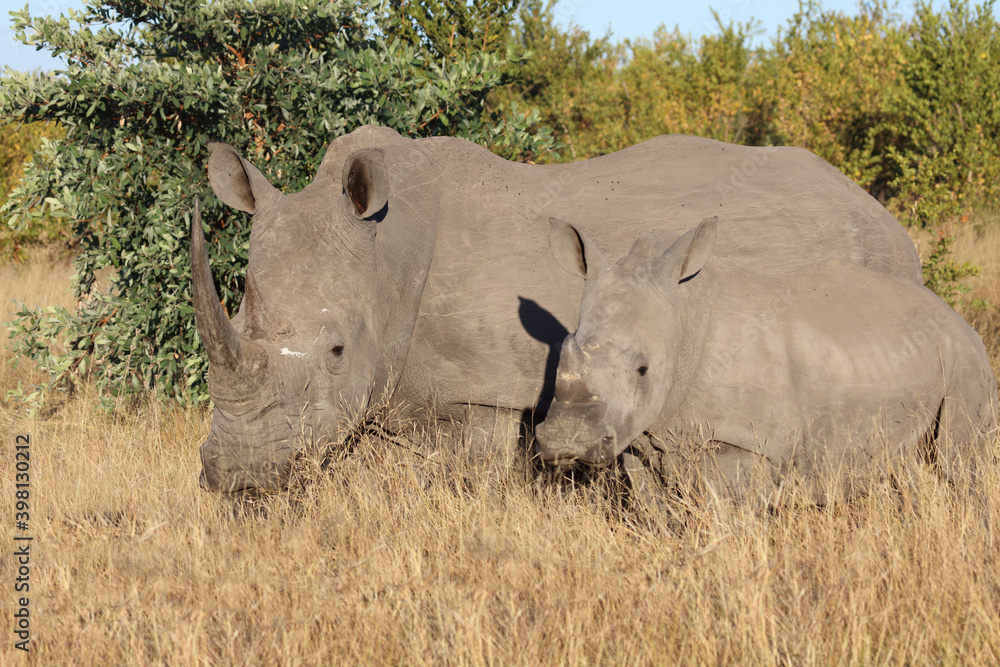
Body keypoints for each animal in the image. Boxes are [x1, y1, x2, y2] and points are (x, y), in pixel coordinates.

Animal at [193, 125, 924, 492]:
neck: (388, 252)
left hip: (871, 270)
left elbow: (474, 482)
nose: (235, 475)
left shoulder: (484, 388)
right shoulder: (395, 385)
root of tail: (885, 217)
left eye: (337, 349)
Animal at [535, 217, 997, 498]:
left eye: (643, 369)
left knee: (958, 464)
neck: (685, 318)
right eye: (563, 354)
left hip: (966, 362)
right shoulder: (639, 435)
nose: (563, 442)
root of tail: (954, 314)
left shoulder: (744, 441)